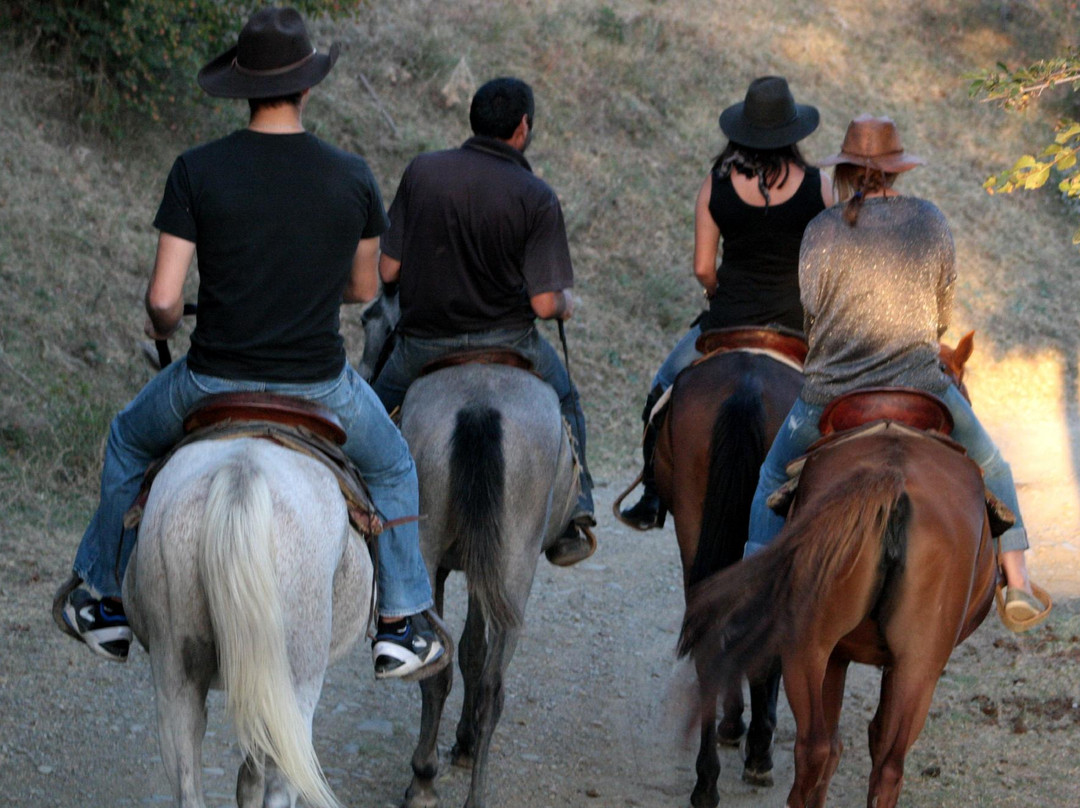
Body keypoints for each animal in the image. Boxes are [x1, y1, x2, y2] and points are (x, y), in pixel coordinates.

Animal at [648, 337, 803, 808]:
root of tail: (746, 386)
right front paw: (756, 744)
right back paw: (750, 750)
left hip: (694, 517)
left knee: (708, 631)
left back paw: (706, 780)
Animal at [678, 337, 997, 808]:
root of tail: (890, 477)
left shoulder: (843, 655)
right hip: (886, 657)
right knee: (854, 755)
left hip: (840, 648)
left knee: (837, 751)